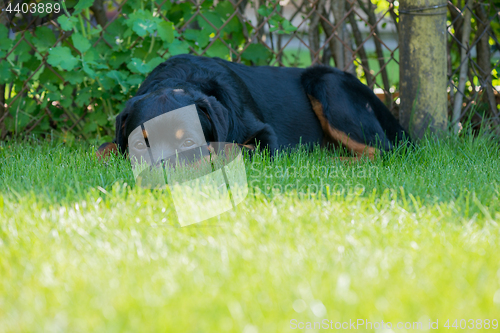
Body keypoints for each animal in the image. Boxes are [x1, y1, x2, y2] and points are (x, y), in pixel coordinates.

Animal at [97, 53, 410, 161]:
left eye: (188, 142)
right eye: (139, 145)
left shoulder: (265, 136)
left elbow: (228, 147)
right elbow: (101, 148)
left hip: (326, 83)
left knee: (382, 151)